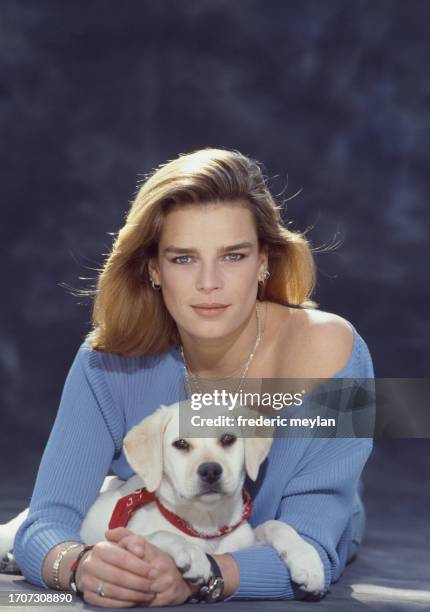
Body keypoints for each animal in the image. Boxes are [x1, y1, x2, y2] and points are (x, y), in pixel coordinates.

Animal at [0, 400, 322, 596]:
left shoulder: (243, 541)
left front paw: (307, 560)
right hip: (15, 529)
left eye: (228, 439)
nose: (210, 470)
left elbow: (276, 525)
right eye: (180, 444)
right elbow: (157, 535)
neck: (204, 525)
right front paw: (191, 554)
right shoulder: (121, 537)